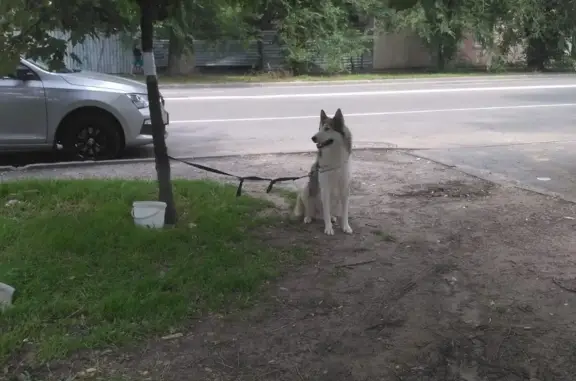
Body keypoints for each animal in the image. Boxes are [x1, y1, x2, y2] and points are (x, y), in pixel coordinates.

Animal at [294, 107, 354, 235]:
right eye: (320, 128)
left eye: (327, 128)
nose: (313, 138)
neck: (334, 155)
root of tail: (318, 214)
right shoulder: (325, 188)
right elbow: (326, 211)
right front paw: (328, 228)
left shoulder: (345, 188)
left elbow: (344, 212)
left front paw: (346, 226)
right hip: (307, 189)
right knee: (310, 210)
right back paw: (308, 217)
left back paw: (332, 217)